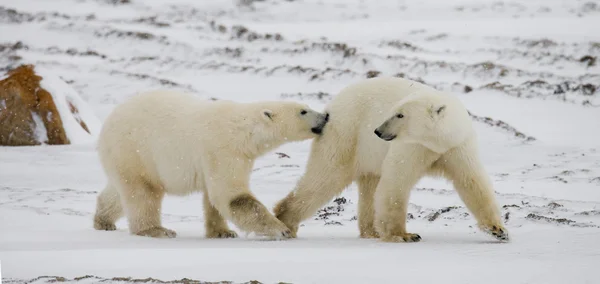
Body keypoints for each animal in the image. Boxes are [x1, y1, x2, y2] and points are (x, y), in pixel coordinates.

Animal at [93, 90, 328, 239]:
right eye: (303, 111)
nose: (325, 116)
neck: (243, 129)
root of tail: (106, 124)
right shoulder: (223, 149)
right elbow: (232, 196)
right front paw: (281, 229)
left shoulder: (238, 157)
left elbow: (214, 198)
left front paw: (223, 232)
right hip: (135, 149)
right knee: (143, 192)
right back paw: (157, 230)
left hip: (125, 158)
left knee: (119, 191)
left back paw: (103, 221)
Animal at [274, 77, 508, 242]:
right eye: (394, 112)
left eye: (400, 115)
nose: (378, 131)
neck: (437, 142)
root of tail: (331, 106)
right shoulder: (413, 147)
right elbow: (397, 182)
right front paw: (404, 235)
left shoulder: (456, 146)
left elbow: (472, 182)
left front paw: (498, 230)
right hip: (346, 135)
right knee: (323, 178)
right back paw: (286, 222)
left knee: (369, 186)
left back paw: (371, 231)